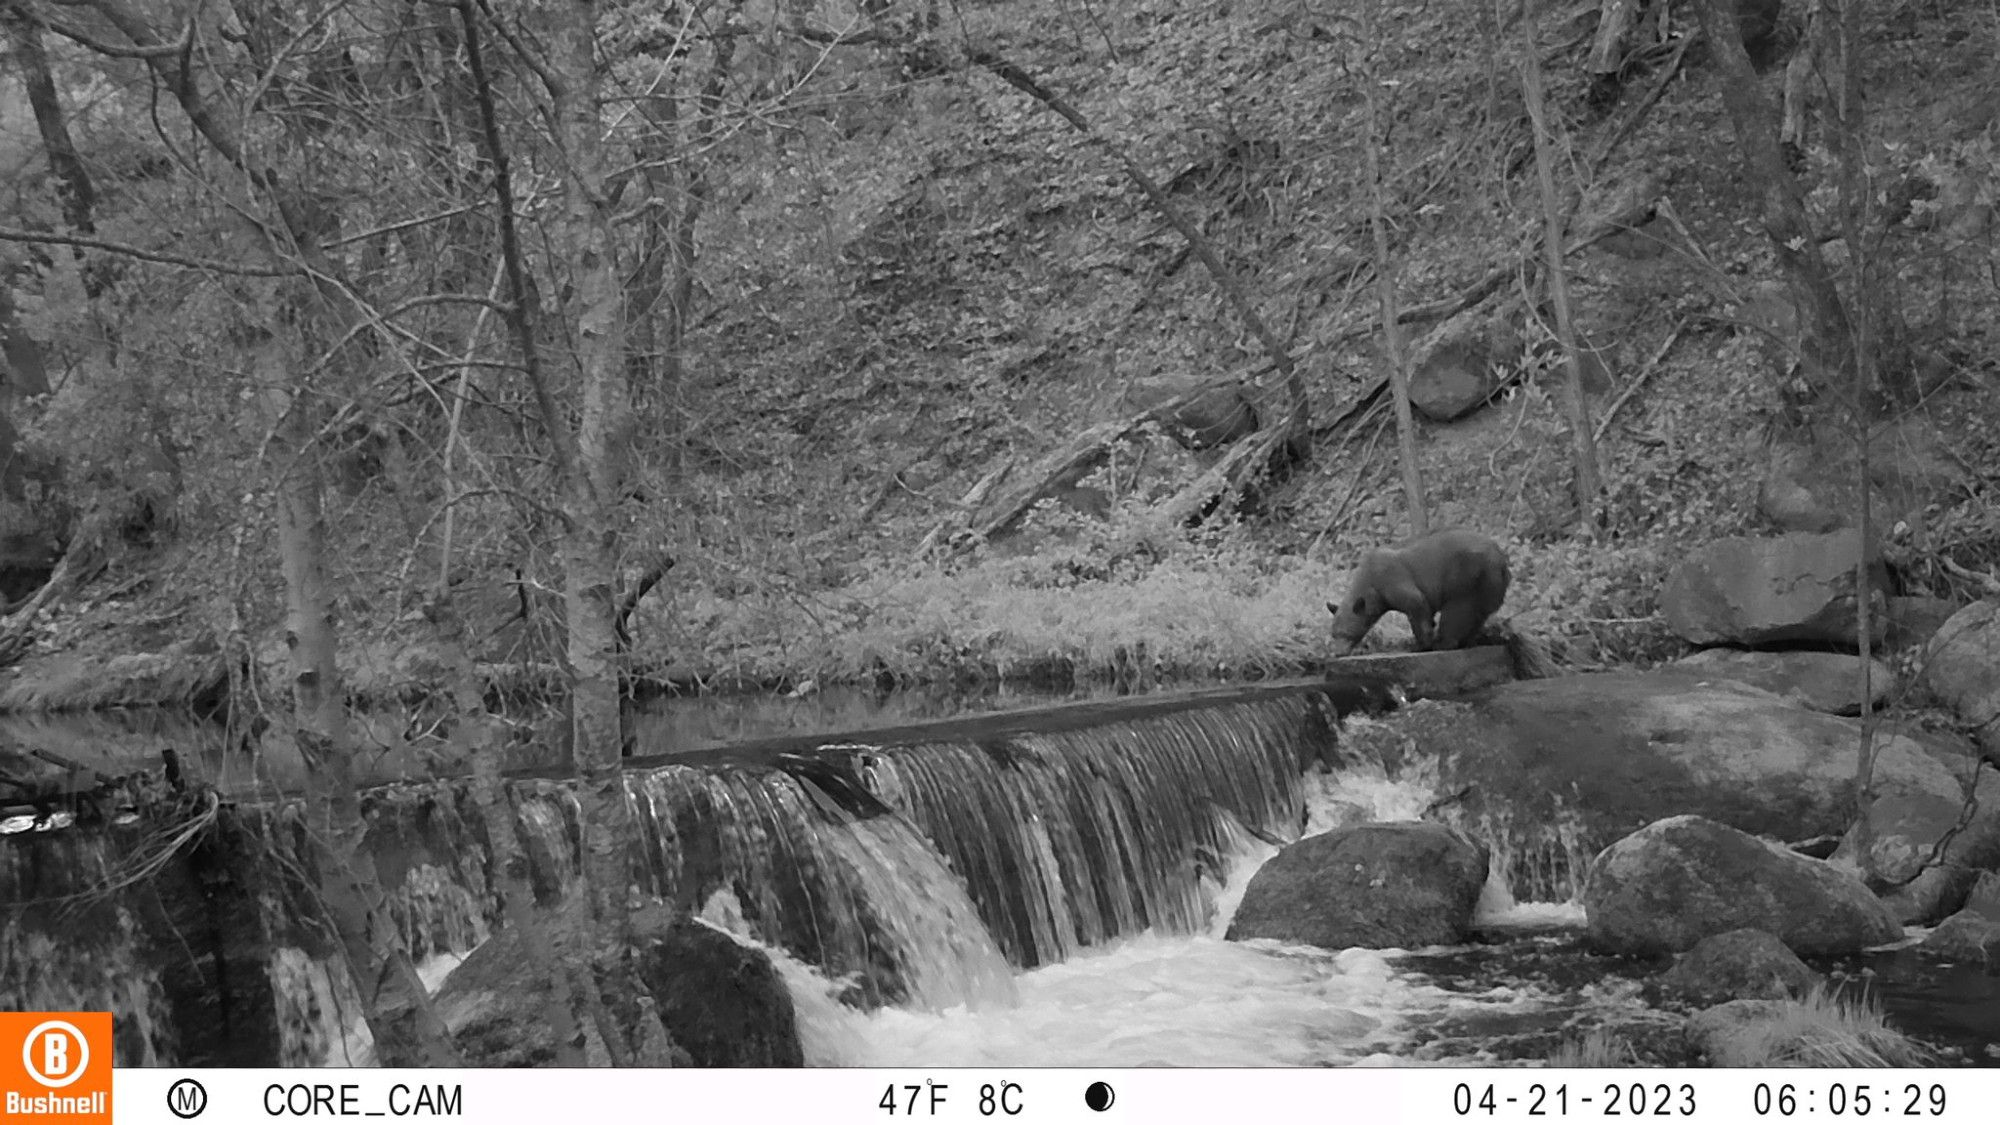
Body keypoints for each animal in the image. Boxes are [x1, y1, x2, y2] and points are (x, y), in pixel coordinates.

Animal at [1320, 528, 1504, 652]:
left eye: (1344, 634)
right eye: (1333, 634)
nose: (1336, 653)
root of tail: (1499, 556)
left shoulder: (1390, 577)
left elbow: (1416, 602)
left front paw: (1421, 644)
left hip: (1467, 575)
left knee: (1458, 610)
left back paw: (1444, 643)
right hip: (1486, 585)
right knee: (1477, 613)